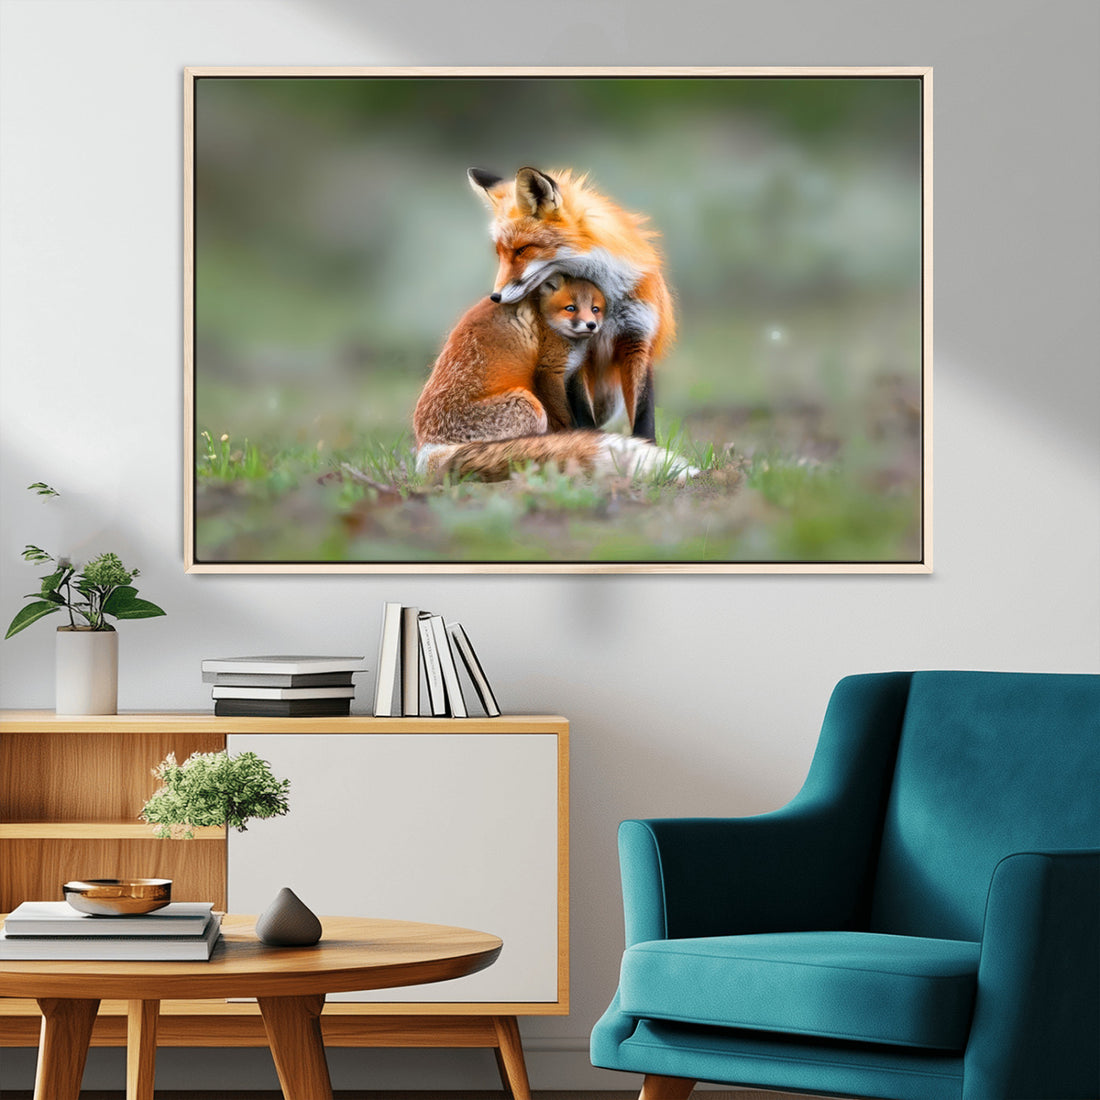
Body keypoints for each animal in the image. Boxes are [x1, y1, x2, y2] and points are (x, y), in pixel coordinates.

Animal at [414, 275, 693, 482]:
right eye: (570, 308)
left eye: (595, 309)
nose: (591, 325)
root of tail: (428, 447)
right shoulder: (549, 371)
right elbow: (566, 418)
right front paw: (576, 439)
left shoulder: (574, 373)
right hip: (529, 405)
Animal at [468, 166, 676, 442]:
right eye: (499, 254)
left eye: (522, 250)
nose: (495, 297)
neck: (607, 300)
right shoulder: (578, 353)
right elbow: (583, 414)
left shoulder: (637, 340)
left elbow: (643, 415)